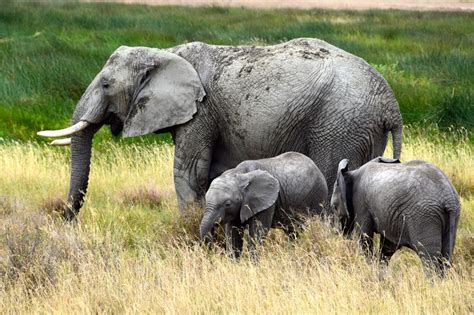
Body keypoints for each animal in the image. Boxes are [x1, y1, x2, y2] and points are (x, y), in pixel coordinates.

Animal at [37, 38, 402, 220]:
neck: (166, 53)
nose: (66, 219)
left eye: (107, 85)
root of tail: (391, 105)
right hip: (360, 128)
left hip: (339, 125)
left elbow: (188, 174)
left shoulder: (201, 112)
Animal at [332, 157, 462, 274]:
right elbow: (388, 246)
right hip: (452, 215)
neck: (352, 173)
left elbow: (364, 238)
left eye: (334, 207)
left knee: (429, 259)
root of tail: (448, 197)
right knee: (446, 257)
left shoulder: (362, 204)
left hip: (425, 217)